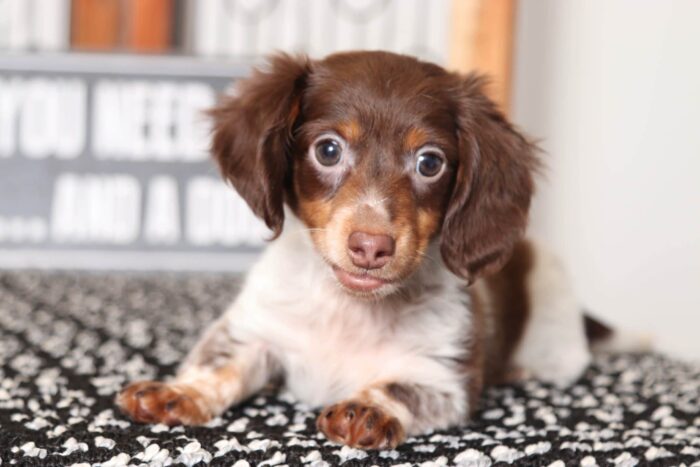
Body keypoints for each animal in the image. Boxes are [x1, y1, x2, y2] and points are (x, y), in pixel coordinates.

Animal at [119, 53, 624, 452]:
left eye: (430, 162)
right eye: (327, 150)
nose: (370, 246)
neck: (349, 309)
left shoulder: (446, 375)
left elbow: (402, 388)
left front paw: (368, 408)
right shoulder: (257, 330)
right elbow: (220, 364)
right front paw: (179, 392)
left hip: (556, 346)